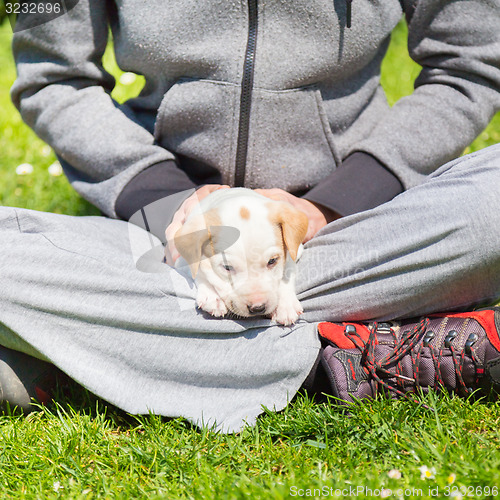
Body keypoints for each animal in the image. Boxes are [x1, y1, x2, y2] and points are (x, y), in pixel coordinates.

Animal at [173, 188, 308, 324]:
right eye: (227, 267)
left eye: (272, 261)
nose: (258, 308)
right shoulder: (181, 261)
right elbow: (199, 272)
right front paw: (212, 296)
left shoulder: (294, 251)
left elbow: (286, 275)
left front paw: (285, 305)